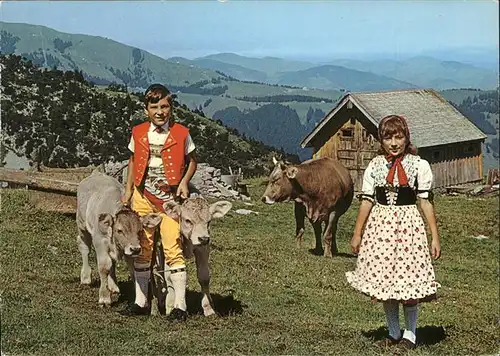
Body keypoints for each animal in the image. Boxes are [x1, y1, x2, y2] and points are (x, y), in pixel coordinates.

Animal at [77, 171, 161, 304]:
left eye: (140, 230)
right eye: (119, 230)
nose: (135, 249)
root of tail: (96, 173)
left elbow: (132, 270)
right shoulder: (100, 241)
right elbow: (104, 267)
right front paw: (104, 297)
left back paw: (113, 286)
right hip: (82, 225)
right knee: (84, 247)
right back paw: (85, 277)